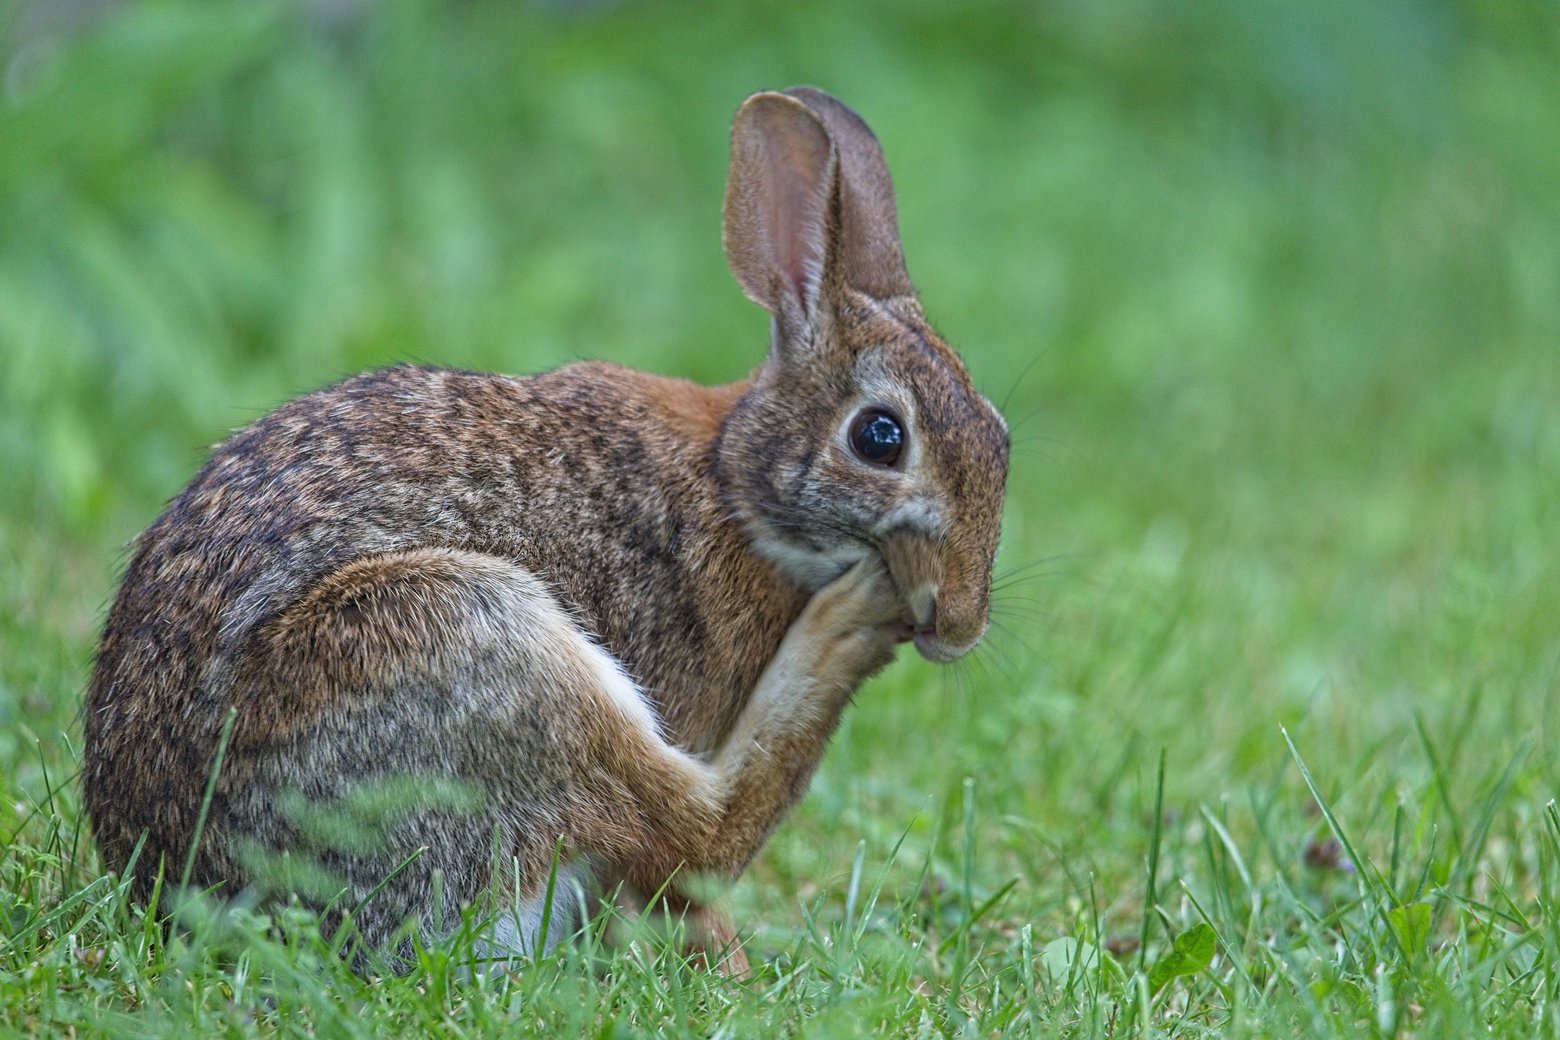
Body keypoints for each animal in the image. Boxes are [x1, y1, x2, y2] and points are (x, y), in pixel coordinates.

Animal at [83, 86, 1009, 972]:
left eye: (1000, 433)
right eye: (880, 437)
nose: (960, 623)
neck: (736, 488)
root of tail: (187, 896)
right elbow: (687, 884)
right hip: (468, 641)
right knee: (695, 834)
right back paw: (850, 628)